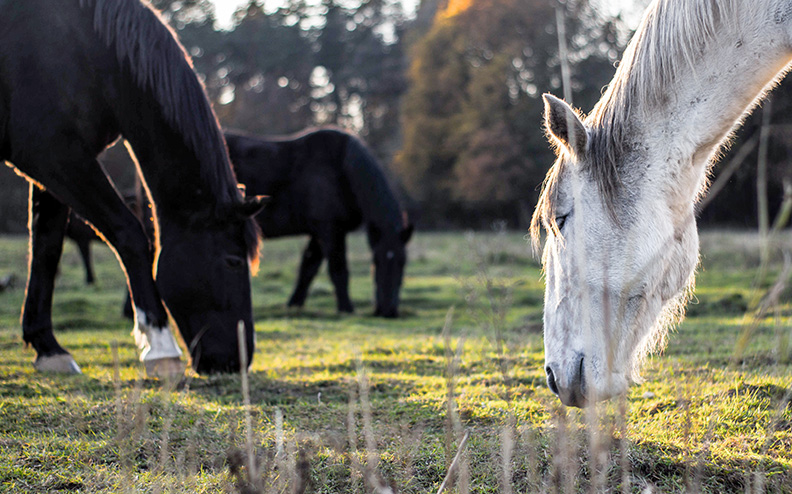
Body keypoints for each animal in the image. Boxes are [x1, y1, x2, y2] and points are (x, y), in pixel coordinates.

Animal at [0, 0, 266, 376]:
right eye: (233, 262)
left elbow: (46, 250)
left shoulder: (53, 167)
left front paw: (48, 347)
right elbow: (130, 234)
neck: (84, 47)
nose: (237, 361)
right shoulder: (52, 155)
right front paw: (161, 347)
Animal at [220, 129, 412, 318]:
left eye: (403, 262)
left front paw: (294, 304)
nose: (388, 311)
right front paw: (346, 308)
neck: (341, 168)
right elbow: (338, 269)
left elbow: (308, 268)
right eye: (376, 261)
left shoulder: (319, 233)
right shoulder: (330, 230)